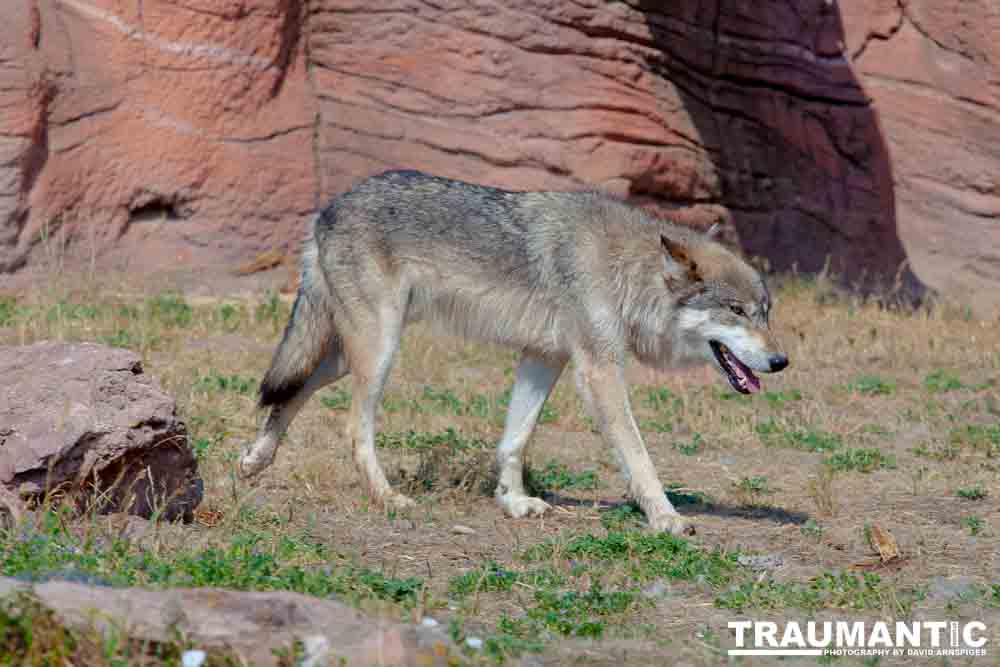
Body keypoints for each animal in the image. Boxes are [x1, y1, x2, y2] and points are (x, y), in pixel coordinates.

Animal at [238, 170, 784, 536]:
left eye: (766, 312)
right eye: (736, 311)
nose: (781, 362)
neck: (627, 272)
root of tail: (328, 206)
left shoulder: (544, 357)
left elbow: (514, 440)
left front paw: (513, 502)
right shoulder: (600, 370)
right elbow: (639, 456)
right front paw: (667, 517)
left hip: (349, 354)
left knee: (291, 390)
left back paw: (253, 461)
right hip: (380, 350)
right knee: (353, 427)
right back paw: (388, 498)